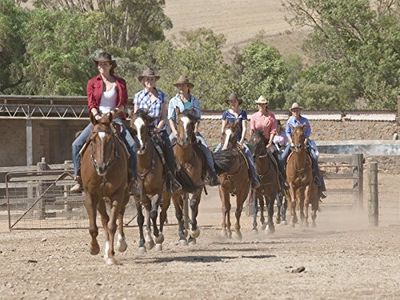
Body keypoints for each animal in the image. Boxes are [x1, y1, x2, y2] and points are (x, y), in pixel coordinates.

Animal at [80, 113, 130, 264]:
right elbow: (93, 227)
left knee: (119, 214)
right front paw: (94, 248)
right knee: (104, 219)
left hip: (125, 194)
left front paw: (111, 256)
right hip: (100, 198)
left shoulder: (118, 193)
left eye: (110, 140)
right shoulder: (90, 194)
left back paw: (120, 244)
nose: (101, 167)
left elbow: (113, 225)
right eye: (92, 140)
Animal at [130, 109, 170, 252]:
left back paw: (158, 242)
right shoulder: (138, 194)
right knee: (147, 211)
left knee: (161, 214)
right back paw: (149, 240)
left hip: (167, 195)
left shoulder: (158, 191)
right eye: (132, 128)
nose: (141, 147)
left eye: (145, 126)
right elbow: (141, 218)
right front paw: (142, 243)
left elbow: (154, 214)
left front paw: (158, 236)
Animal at [170, 111, 206, 245]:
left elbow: (193, 205)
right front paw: (181, 236)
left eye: (191, 123)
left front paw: (194, 232)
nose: (184, 140)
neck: (184, 160)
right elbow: (178, 212)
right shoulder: (174, 191)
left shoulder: (198, 187)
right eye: (178, 121)